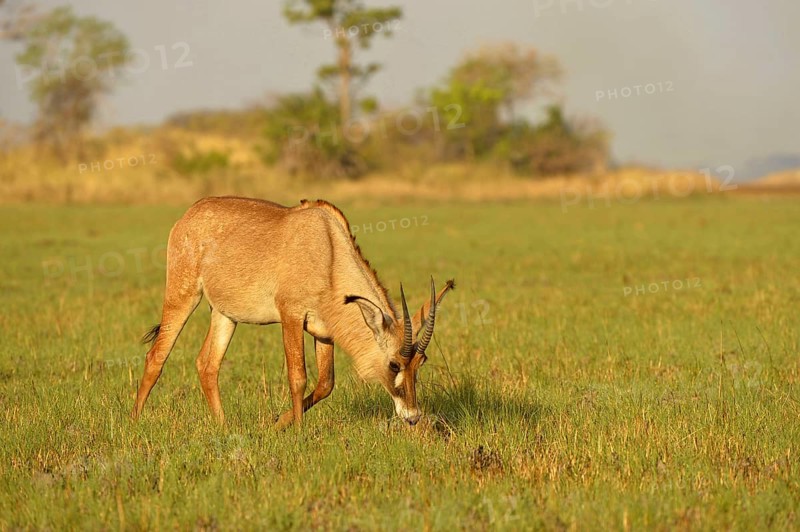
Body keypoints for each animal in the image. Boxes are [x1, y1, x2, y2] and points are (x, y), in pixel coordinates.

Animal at [131, 197, 454, 428]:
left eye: (420, 362)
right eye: (394, 364)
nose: (412, 416)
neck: (329, 251)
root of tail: (187, 216)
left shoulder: (324, 332)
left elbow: (325, 384)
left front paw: (278, 423)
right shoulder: (291, 317)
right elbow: (298, 376)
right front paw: (298, 431)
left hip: (225, 315)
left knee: (207, 364)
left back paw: (223, 427)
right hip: (183, 295)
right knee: (156, 356)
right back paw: (135, 421)